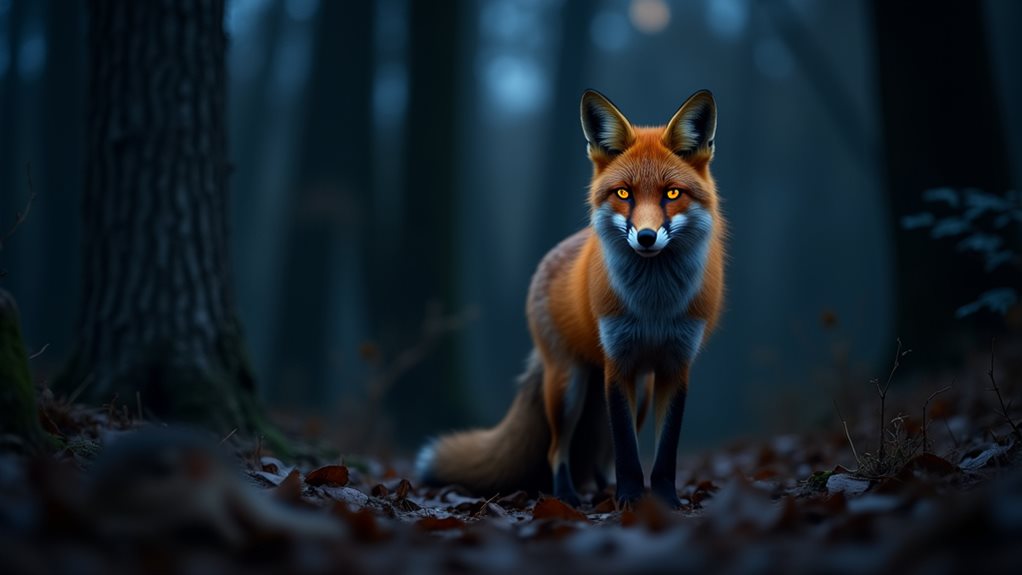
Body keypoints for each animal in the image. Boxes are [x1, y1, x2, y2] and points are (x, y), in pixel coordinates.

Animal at [416, 89, 725, 508]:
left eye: (672, 194)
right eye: (624, 193)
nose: (646, 237)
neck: (653, 305)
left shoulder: (675, 365)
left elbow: (663, 453)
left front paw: (664, 503)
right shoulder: (617, 363)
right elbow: (627, 453)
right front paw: (630, 500)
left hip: (637, 392)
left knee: (600, 453)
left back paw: (601, 488)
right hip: (568, 387)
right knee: (557, 450)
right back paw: (567, 496)